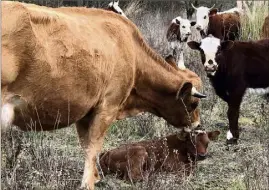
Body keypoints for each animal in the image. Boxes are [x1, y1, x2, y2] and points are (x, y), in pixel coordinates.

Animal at [1, 1, 205, 190]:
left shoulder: (85, 113)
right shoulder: (107, 108)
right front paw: (88, 183)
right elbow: (93, 148)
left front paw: (95, 176)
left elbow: (86, 146)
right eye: (193, 104)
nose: (197, 125)